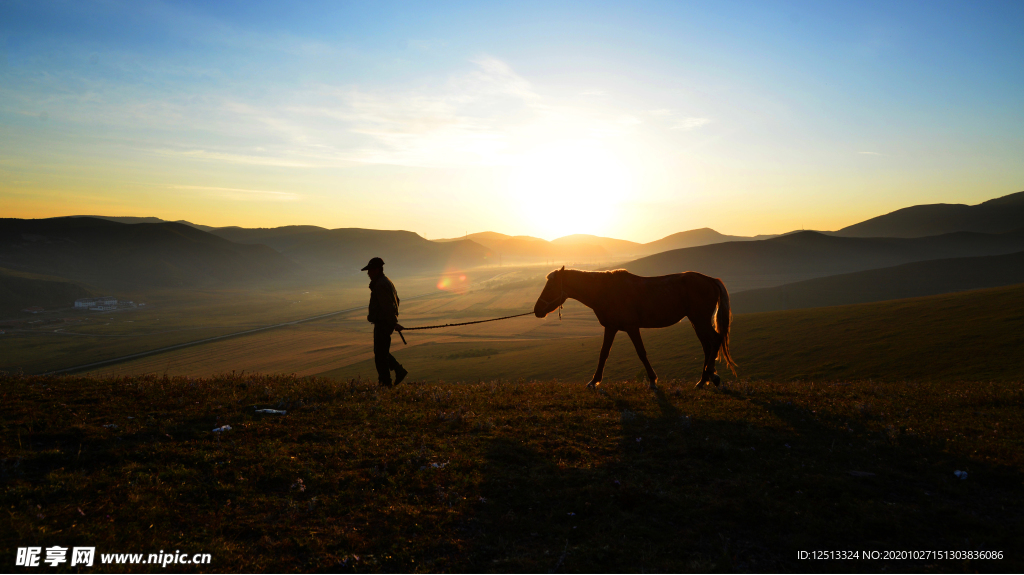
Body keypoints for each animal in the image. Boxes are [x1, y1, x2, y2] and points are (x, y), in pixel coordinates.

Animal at [536, 268, 737, 388]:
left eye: (550, 287)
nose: (537, 310)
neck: (605, 291)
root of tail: (710, 280)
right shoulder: (611, 327)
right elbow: (603, 353)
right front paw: (594, 381)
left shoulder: (632, 327)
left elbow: (641, 353)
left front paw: (653, 380)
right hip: (697, 322)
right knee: (707, 346)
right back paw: (703, 380)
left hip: (700, 320)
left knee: (715, 340)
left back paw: (711, 375)